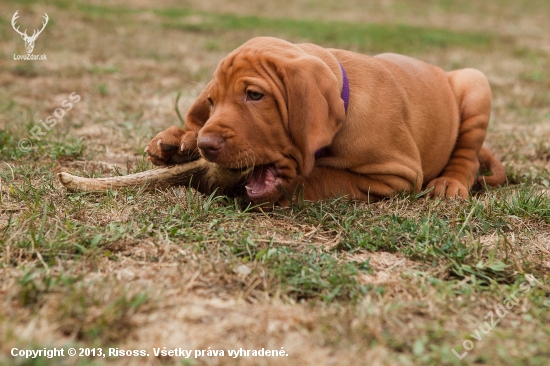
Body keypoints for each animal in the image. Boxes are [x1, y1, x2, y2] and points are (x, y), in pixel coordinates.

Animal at [144, 38, 506, 206]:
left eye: (254, 95)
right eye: (211, 102)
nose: (207, 145)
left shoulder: (398, 174)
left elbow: (324, 176)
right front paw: (181, 140)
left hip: (475, 84)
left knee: (467, 155)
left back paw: (450, 183)